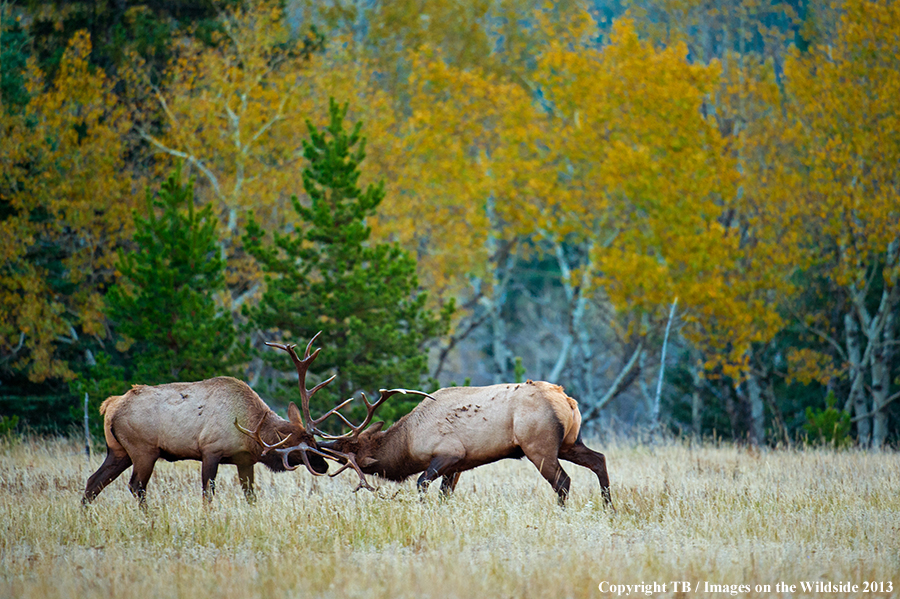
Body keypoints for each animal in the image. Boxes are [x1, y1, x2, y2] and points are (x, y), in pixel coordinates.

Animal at [81, 332, 342, 506]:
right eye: (301, 448)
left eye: (314, 442)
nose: (324, 465)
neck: (251, 432)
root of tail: (110, 406)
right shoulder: (210, 450)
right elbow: (208, 494)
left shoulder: (244, 460)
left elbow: (250, 496)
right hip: (143, 450)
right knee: (136, 487)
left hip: (118, 451)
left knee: (93, 483)